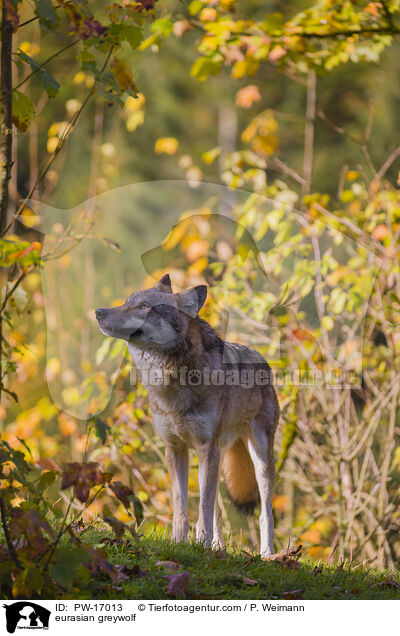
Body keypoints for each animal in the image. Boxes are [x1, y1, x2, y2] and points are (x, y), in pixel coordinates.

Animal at [95, 274, 280, 556]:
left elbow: (202, 508)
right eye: (127, 302)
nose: (98, 312)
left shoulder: (206, 448)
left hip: (259, 458)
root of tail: (263, 361)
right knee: (215, 507)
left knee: (264, 512)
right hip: (215, 459)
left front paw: (199, 543)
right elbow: (182, 506)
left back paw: (267, 554)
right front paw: (178, 543)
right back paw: (217, 546)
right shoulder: (175, 448)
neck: (171, 381)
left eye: (145, 307)